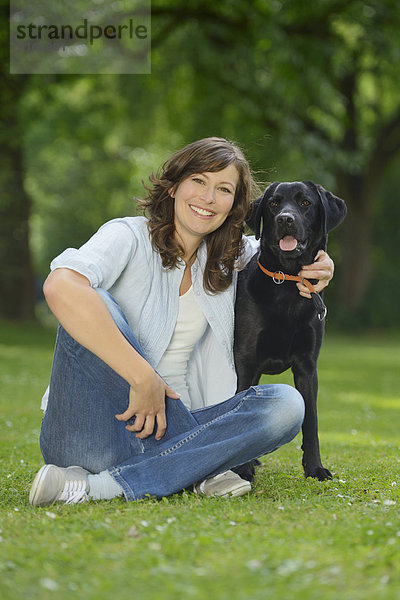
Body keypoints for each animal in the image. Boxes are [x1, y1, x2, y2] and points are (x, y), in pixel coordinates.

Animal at [233, 180, 346, 480]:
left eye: (305, 202)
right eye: (273, 204)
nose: (285, 219)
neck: (286, 282)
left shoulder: (307, 365)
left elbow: (311, 420)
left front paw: (315, 468)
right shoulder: (245, 362)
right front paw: (242, 470)